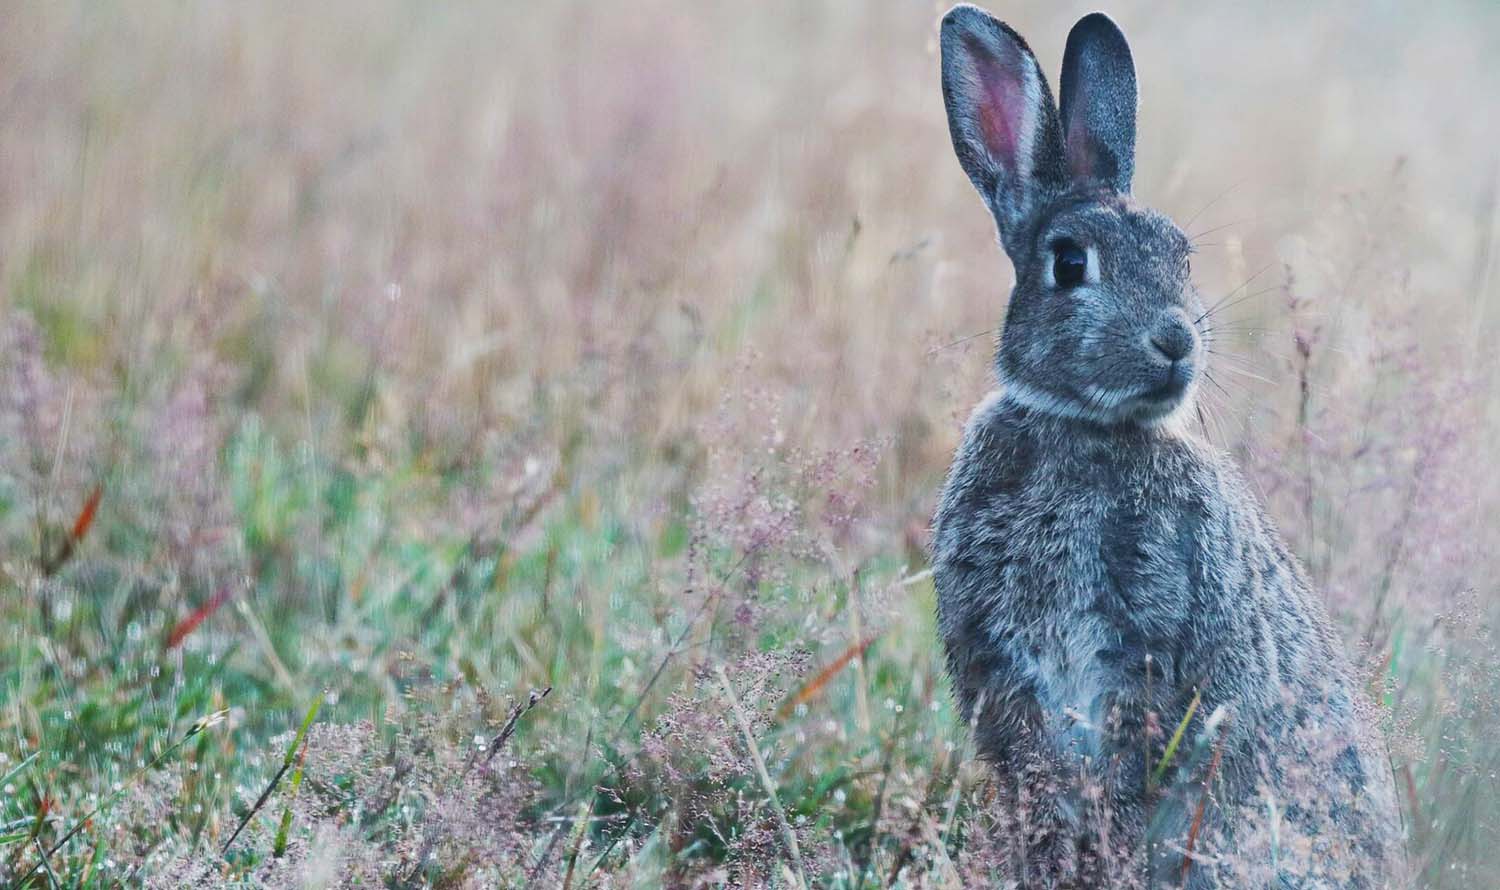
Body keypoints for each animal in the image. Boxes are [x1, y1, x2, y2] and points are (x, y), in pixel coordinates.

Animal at [929, 6, 1404, 887]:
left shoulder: (1147, 652)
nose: (1178, 340)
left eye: (1183, 254)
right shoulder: (1010, 675)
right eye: (1069, 262)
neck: (1082, 427)